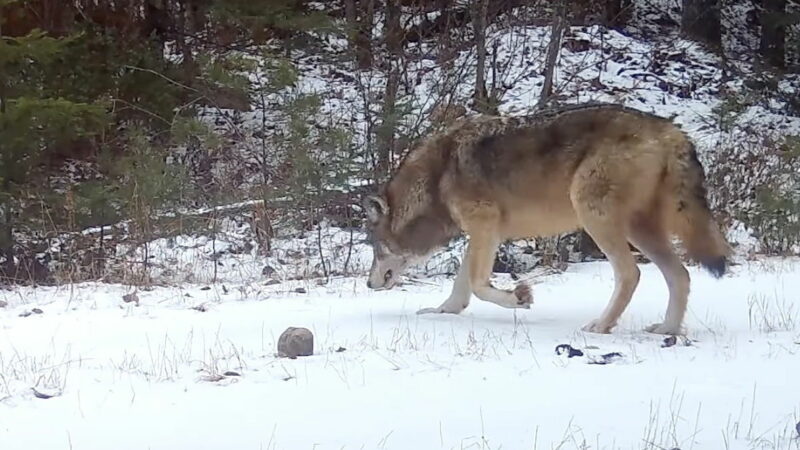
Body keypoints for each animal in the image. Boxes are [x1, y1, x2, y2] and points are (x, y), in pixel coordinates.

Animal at [362, 103, 732, 334]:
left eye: (376, 248)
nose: (367, 284)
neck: (436, 178)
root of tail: (674, 132)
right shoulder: (485, 232)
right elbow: (462, 285)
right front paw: (442, 312)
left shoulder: (484, 225)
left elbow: (480, 286)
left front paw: (519, 297)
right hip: (641, 229)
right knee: (680, 275)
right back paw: (667, 330)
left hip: (596, 216)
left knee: (631, 274)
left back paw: (601, 326)